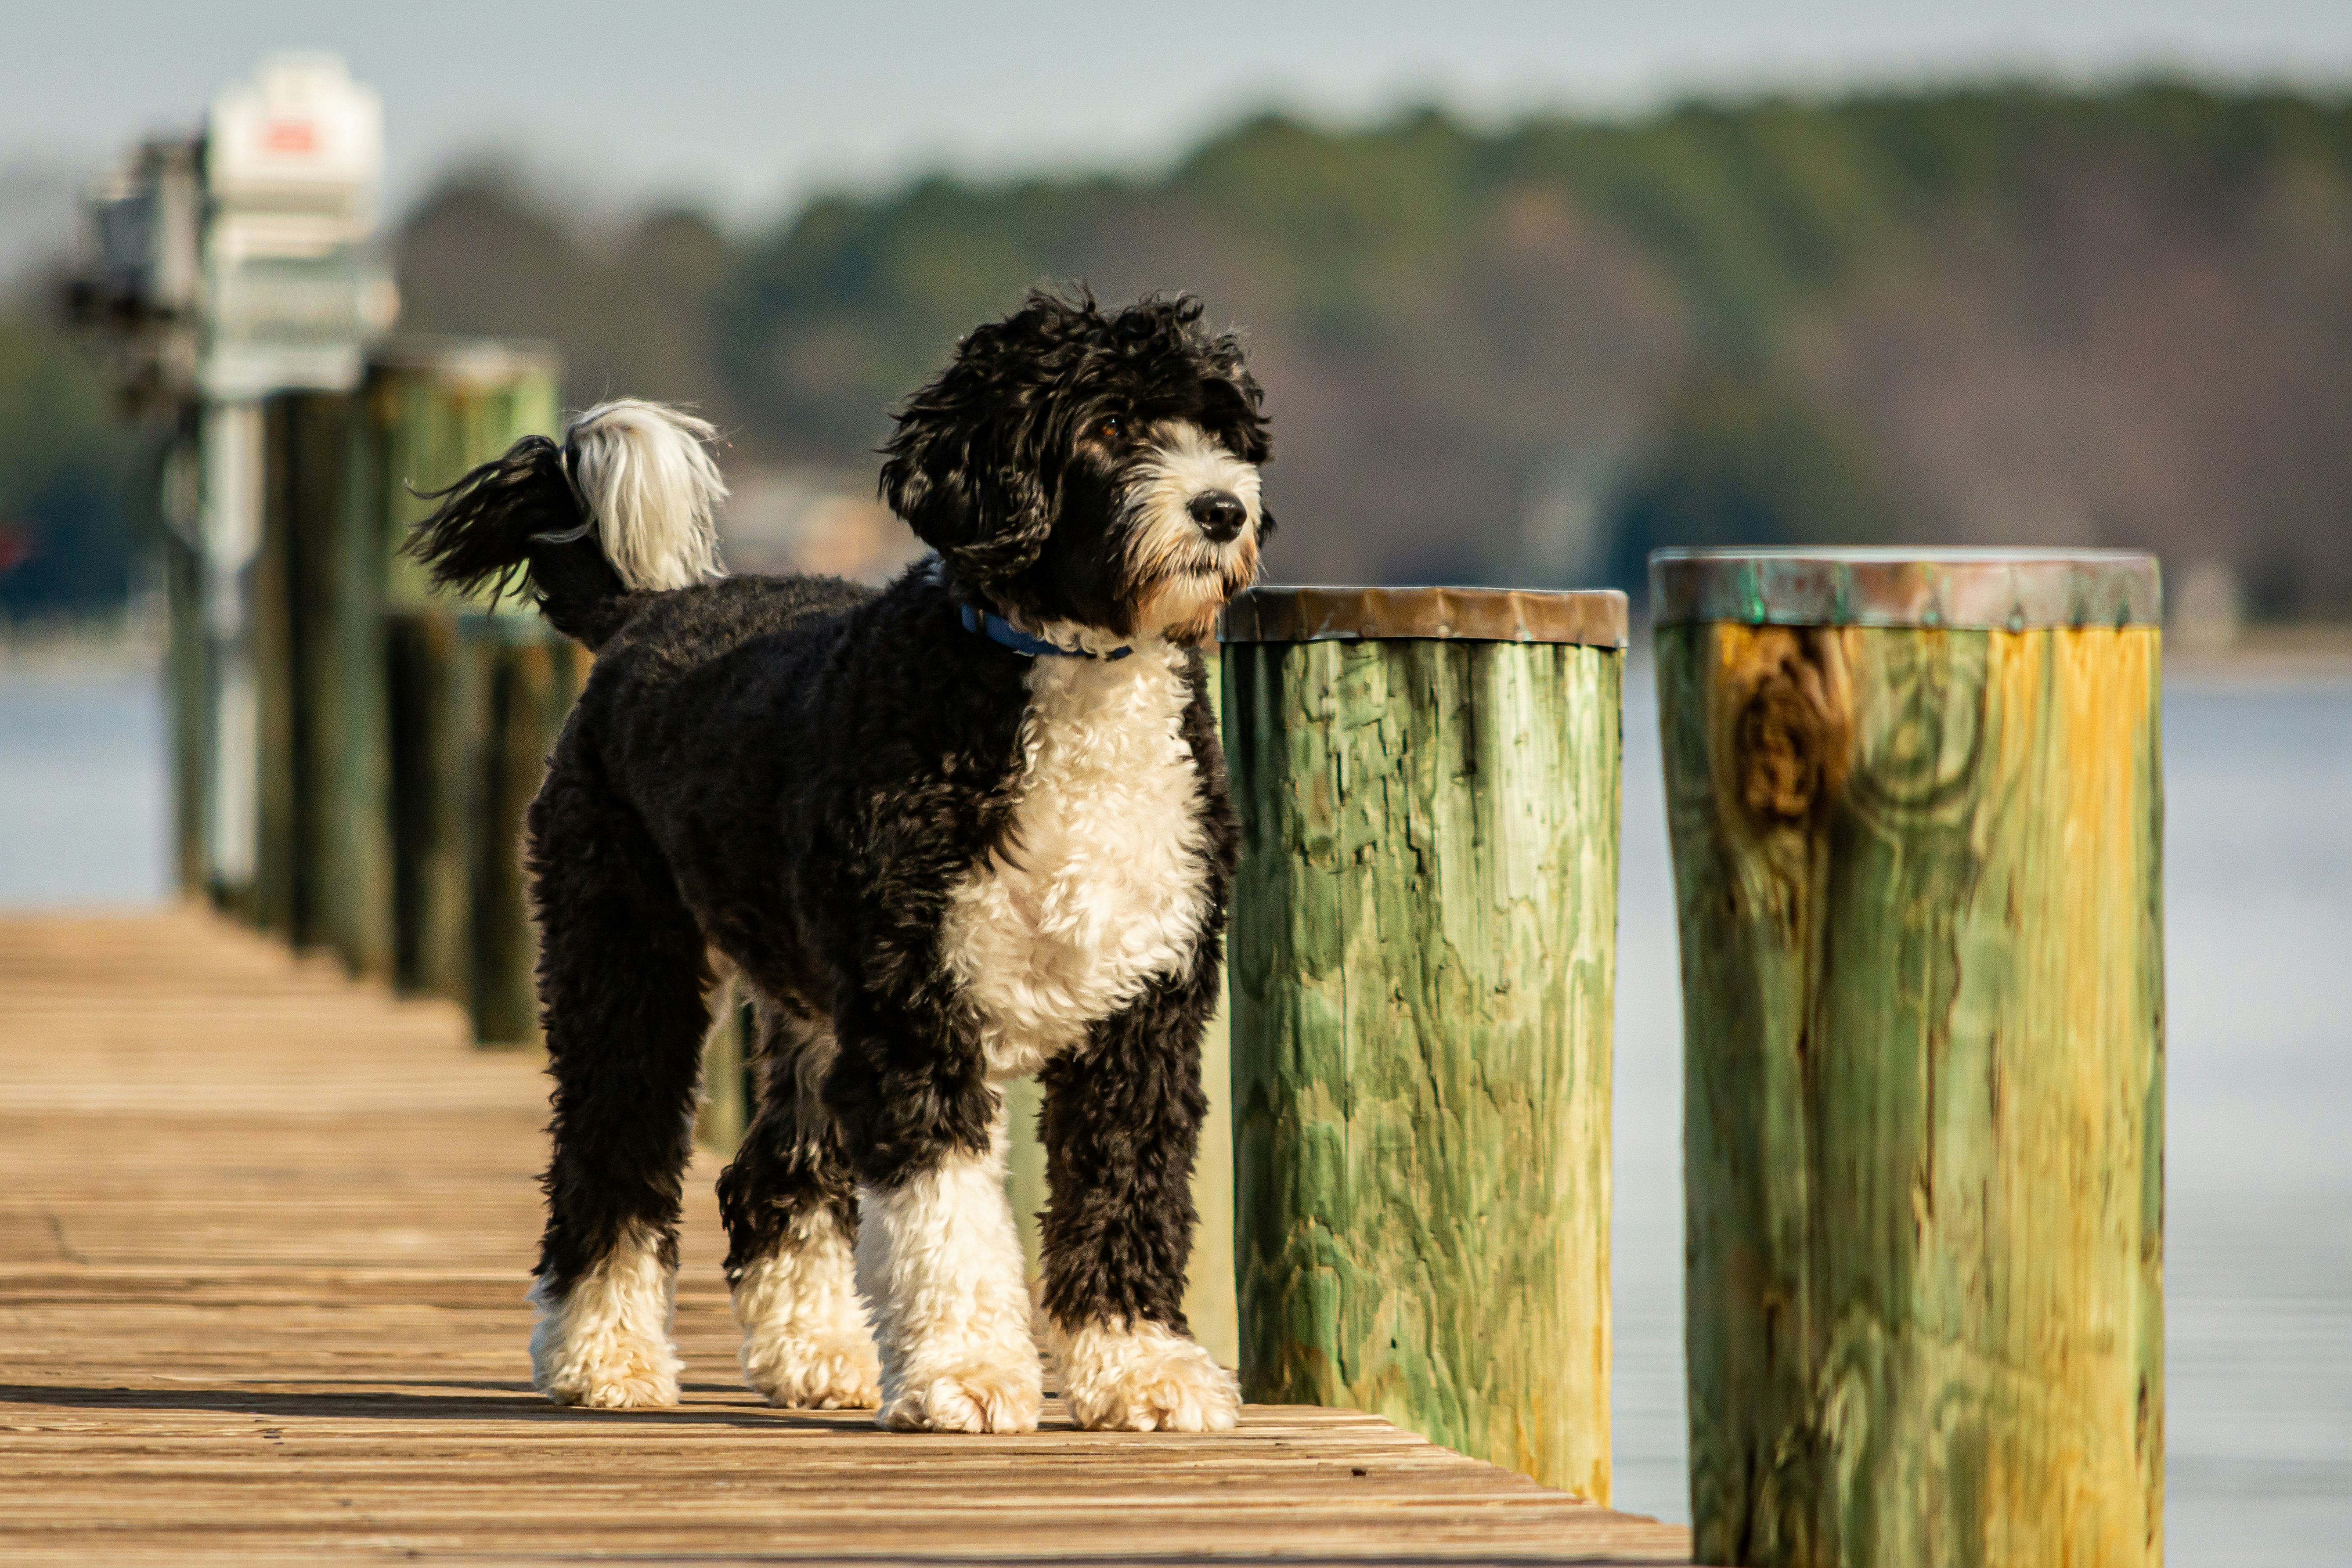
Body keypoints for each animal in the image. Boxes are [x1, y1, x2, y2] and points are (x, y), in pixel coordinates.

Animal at [414, 291, 1279, 1438]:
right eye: (1106, 427)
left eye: (1221, 430)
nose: (1223, 509)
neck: (1057, 674)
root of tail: (647, 614)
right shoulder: (916, 1013)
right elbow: (947, 1216)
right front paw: (968, 1372)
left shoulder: (1143, 1010)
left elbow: (1125, 1186)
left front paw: (1139, 1368)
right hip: (625, 957)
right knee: (612, 1151)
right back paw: (602, 1355)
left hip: (809, 1011)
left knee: (766, 1178)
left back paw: (814, 1354)